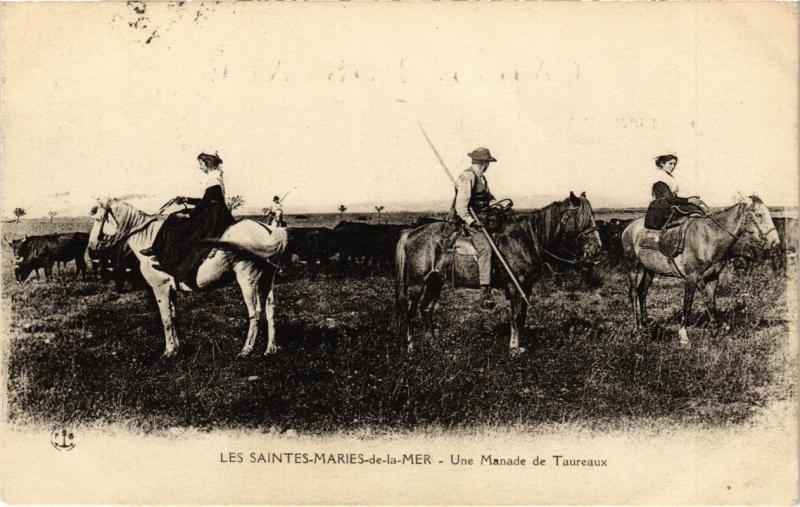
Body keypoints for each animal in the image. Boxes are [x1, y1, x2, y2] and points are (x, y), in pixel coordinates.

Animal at [88, 198, 288, 358]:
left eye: (99, 219)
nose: (90, 251)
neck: (150, 240)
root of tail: (269, 231)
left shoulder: (160, 288)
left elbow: (165, 319)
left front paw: (168, 352)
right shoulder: (170, 290)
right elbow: (173, 317)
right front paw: (176, 348)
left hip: (247, 279)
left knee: (256, 312)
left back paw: (246, 350)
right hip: (267, 280)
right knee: (270, 310)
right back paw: (270, 349)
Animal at [394, 192, 600, 356]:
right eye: (582, 217)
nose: (597, 249)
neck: (526, 239)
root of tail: (412, 232)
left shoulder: (526, 288)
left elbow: (522, 318)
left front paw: (519, 346)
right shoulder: (515, 287)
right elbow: (516, 318)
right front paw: (514, 349)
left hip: (435, 281)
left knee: (426, 309)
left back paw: (434, 344)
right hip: (416, 283)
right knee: (409, 312)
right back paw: (411, 348)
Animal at [620, 196, 780, 348]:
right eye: (759, 214)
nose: (775, 242)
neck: (708, 238)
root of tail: (628, 227)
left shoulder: (712, 278)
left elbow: (711, 303)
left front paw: (714, 331)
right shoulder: (691, 278)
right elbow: (687, 305)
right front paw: (683, 337)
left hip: (649, 270)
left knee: (642, 293)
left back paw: (646, 324)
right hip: (633, 267)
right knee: (633, 294)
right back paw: (636, 329)